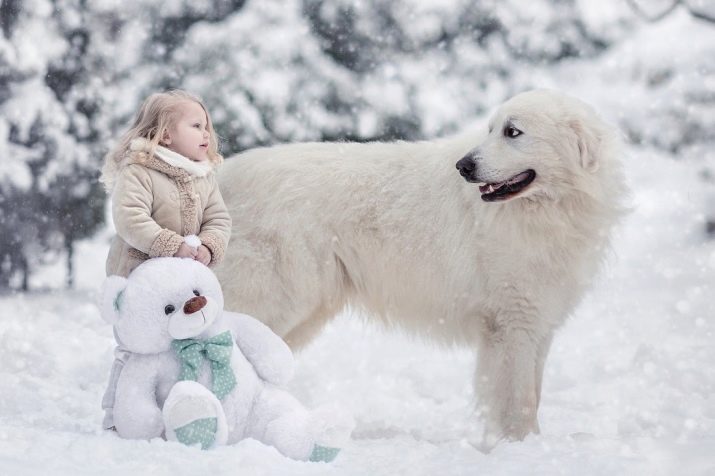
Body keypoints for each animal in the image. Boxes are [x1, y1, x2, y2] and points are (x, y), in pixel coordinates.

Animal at [217, 90, 628, 446]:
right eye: (492, 129)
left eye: (513, 132)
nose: (464, 166)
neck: (550, 210)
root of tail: (226, 173)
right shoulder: (512, 325)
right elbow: (518, 401)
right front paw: (518, 447)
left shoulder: (538, 322)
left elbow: (534, 394)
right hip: (277, 297)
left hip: (303, 314)